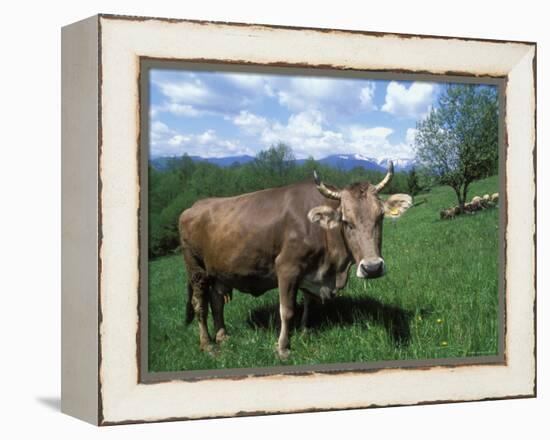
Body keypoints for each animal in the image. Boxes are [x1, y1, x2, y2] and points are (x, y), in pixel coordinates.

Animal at [179, 162, 412, 358]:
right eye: (347, 222)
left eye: (380, 217)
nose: (372, 268)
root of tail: (194, 206)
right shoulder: (286, 267)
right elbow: (287, 310)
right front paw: (282, 348)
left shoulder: (313, 272)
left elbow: (308, 302)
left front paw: (305, 330)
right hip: (196, 269)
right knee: (200, 304)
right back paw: (208, 344)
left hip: (219, 272)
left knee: (217, 301)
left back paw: (223, 336)